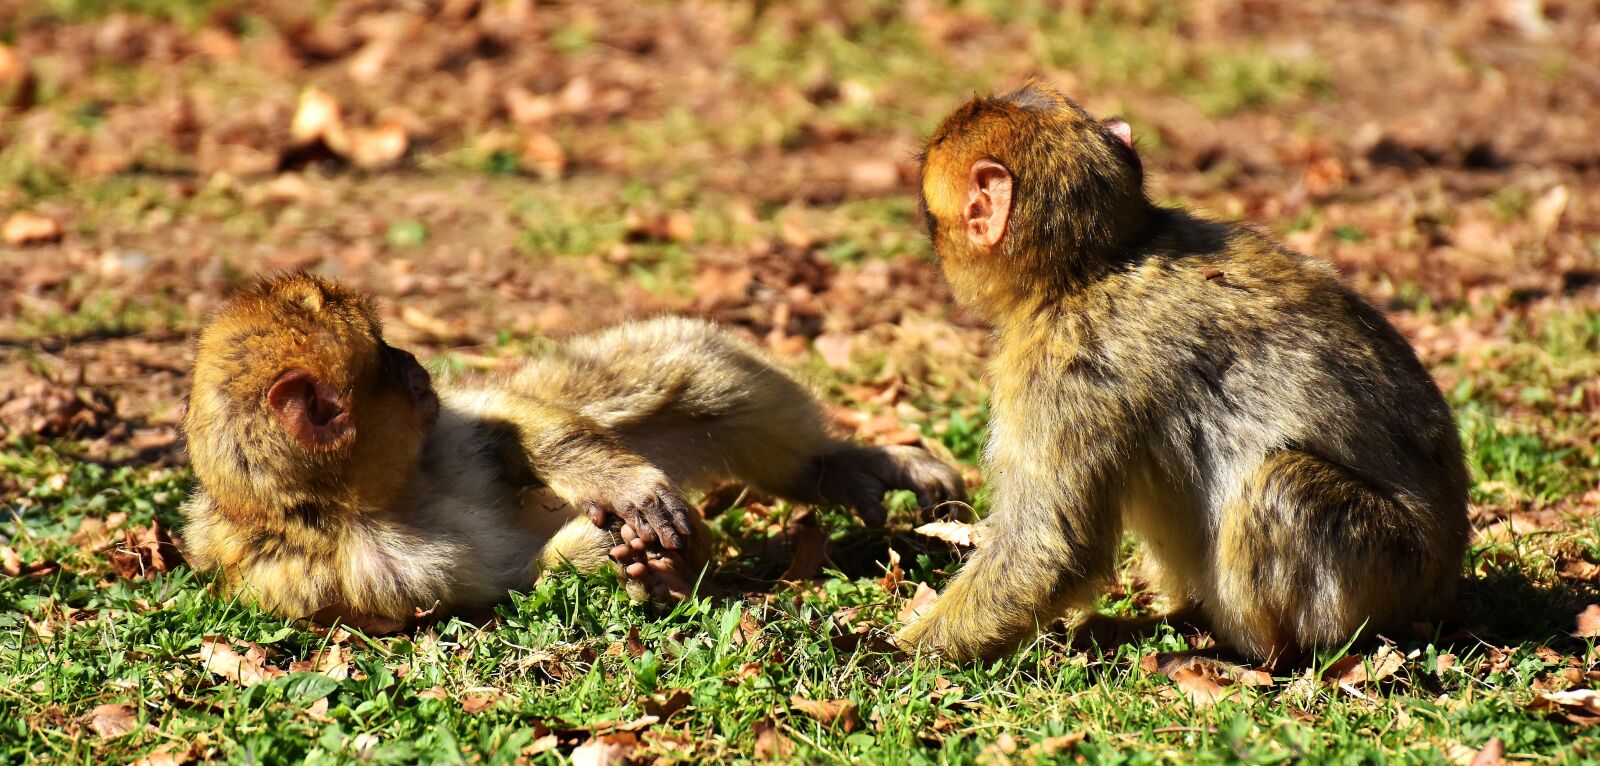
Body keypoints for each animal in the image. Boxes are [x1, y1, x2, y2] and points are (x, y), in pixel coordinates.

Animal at [179, 273, 964, 626]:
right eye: (384, 360)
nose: (414, 363)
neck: (351, 502)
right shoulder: (355, 575)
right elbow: (510, 582)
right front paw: (654, 563)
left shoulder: (437, 431)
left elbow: (504, 423)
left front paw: (617, 488)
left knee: (689, 365)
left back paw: (836, 466)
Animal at [895, 82, 1470, 665]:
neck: (1095, 265)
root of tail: (1444, 581)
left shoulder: (1061, 368)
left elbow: (1047, 547)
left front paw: (894, 656)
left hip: (1390, 569)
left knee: (1281, 483)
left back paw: (1257, 654)